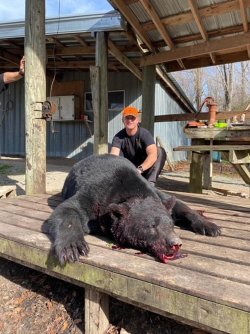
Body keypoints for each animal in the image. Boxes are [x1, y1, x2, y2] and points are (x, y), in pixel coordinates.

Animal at [45, 155, 221, 266]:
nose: (175, 243)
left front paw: (208, 225)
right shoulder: (94, 194)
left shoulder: (154, 194)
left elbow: (176, 204)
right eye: (151, 226)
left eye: (171, 225)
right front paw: (72, 247)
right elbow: (67, 210)